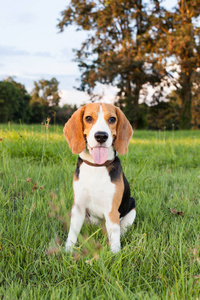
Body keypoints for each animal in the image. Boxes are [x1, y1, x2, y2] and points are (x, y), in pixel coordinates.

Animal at [64, 103, 136, 253]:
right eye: (88, 118)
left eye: (112, 119)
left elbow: (115, 237)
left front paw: (115, 254)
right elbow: (72, 232)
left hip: (132, 206)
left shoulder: (112, 211)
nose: (101, 136)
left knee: (121, 230)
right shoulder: (78, 207)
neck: (96, 167)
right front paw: (67, 251)